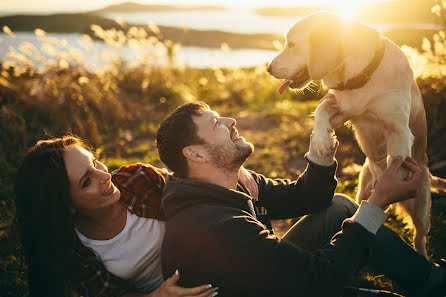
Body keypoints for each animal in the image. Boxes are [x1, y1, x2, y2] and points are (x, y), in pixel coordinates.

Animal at [266, 12, 444, 256]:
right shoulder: (338, 105)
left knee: (420, 238)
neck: (362, 77)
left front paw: (390, 184)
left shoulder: (399, 130)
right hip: (362, 191)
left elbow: (397, 161)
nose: (268, 68)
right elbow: (320, 110)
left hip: (422, 210)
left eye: (292, 44)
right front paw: (321, 140)